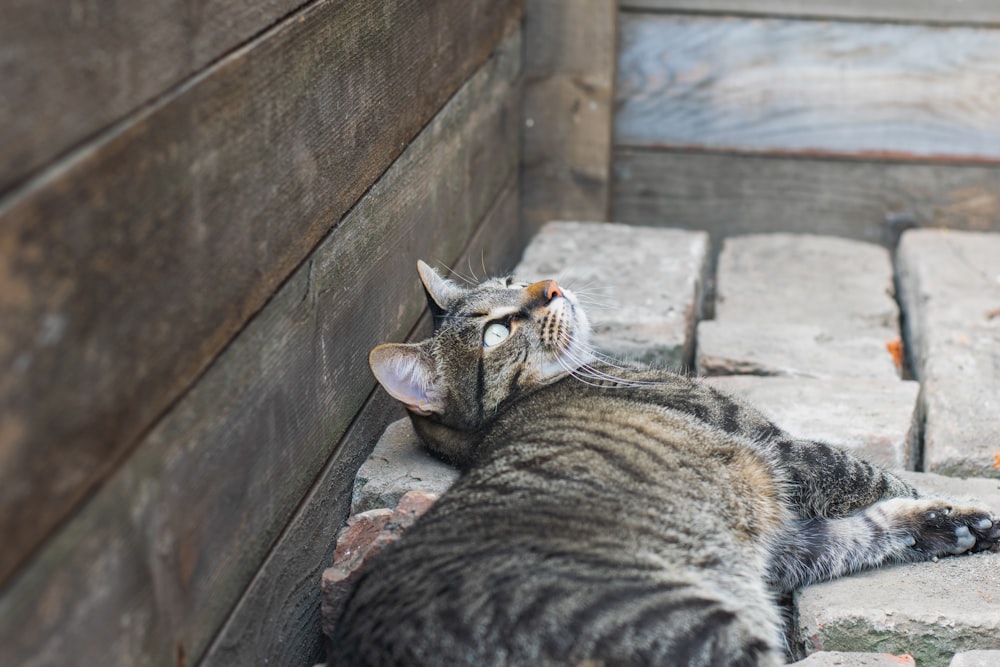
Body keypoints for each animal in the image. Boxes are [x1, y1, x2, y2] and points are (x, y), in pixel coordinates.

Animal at [330, 260, 1000, 667]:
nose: (550, 285)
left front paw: (952, 522)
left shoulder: (778, 541)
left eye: (511, 279)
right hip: (690, 624)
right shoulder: (775, 450)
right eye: (495, 332)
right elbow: (867, 473)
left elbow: (864, 531)